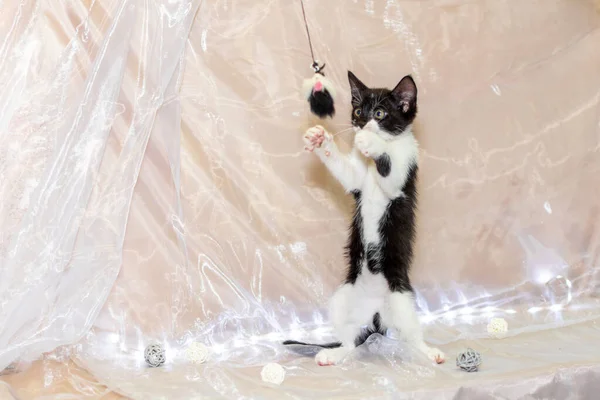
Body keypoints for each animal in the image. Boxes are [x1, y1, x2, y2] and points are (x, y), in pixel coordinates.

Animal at [284, 71, 446, 366]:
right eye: (359, 111)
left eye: (380, 113)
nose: (362, 125)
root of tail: (375, 314)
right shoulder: (357, 179)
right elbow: (347, 173)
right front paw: (320, 139)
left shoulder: (402, 176)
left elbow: (390, 171)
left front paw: (371, 143)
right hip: (342, 296)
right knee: (350, 340)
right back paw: (336, 354)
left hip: (400, 297)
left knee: (411, 335)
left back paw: (428, 351)